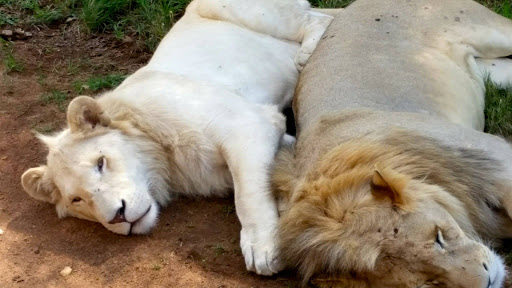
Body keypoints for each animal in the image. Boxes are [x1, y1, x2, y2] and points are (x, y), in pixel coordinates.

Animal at [19, 0, 336, 276]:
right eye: (76, 199)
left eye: (101, 162)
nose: (118, 216)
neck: (164, 161)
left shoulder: (248, 124)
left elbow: (248, 195)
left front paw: (263, 248)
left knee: (319, 19)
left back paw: (306, 54)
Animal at [274, 0, 512, 286]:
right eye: (429, 282)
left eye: (438, 236)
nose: (488, 281)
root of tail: (351, 6)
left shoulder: (496, 155)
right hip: (494, 72)